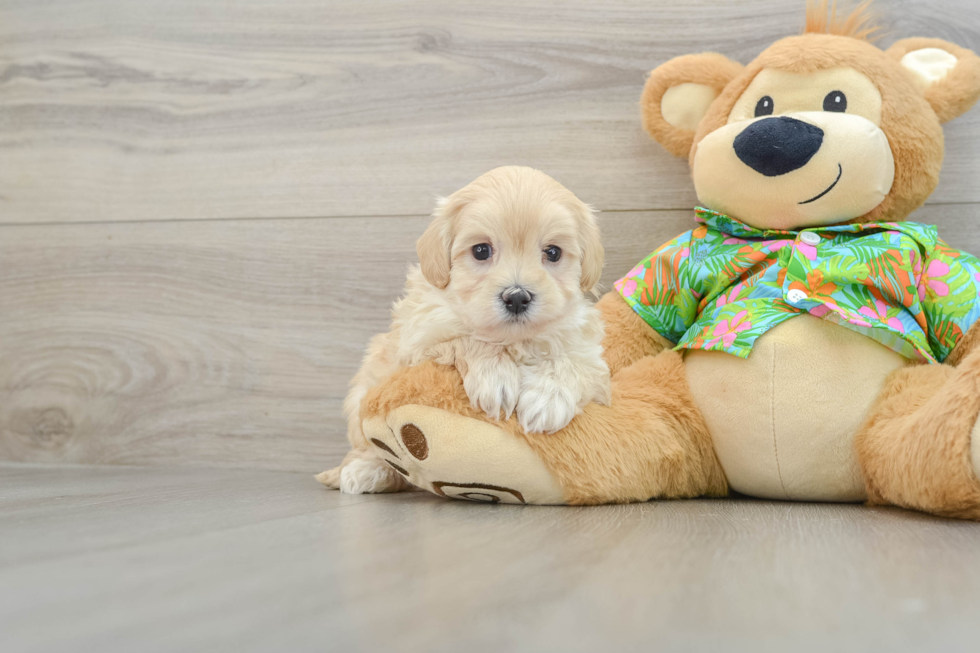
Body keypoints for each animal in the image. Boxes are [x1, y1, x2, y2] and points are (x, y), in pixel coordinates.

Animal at [322, 164, 608, 494]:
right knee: (366, 447)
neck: (513, 340)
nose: (517, 297)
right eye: (481, 250)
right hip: (361, 398)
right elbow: (467, 339)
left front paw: (548, 399)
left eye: (553, 253)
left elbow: (571, 361)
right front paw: (496, 378)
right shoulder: (418, 341)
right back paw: (368, 471)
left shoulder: (587, 351)